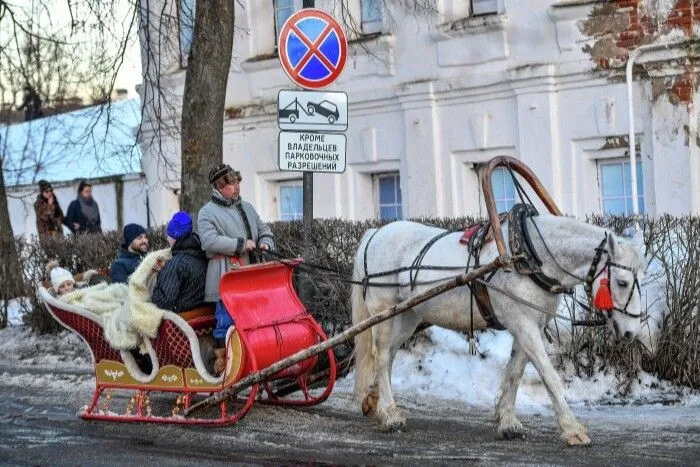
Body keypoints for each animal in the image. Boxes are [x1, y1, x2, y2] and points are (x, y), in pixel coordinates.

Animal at [352, 214, 644, 448]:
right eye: (621, 282)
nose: (631, 332)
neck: (529, 256)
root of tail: (374, 234)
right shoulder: (524, 324)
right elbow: (549, 374)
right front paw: (572, 428)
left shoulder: (529, 325)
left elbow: (515, 372)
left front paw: (507, 423)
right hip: (383, 312)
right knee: (381, 357)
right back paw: (391, 415)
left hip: (407, 316)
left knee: (388, 356)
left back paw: (378, 404)